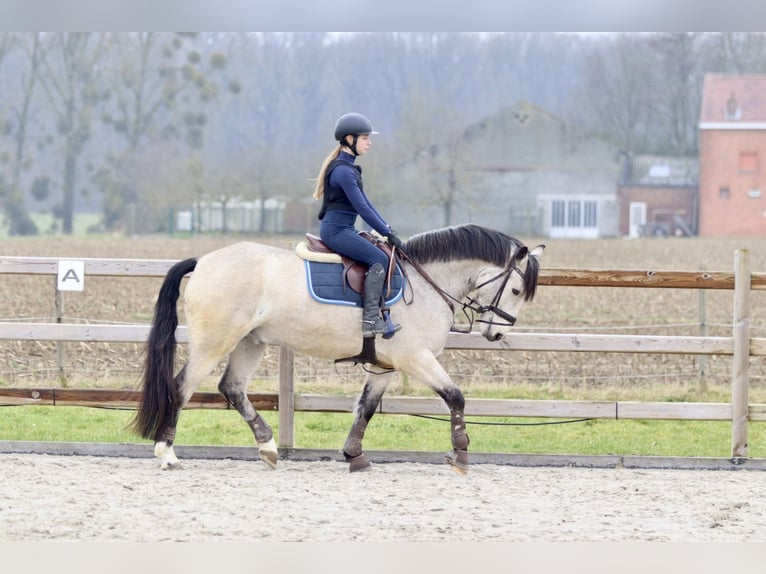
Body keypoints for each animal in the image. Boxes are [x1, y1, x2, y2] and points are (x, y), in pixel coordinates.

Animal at [132, 226, 544, 476]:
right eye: (516, 290)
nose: (496, 333)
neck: (426, 283)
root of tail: (204, 261)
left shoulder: (387, 366)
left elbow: (366, 408)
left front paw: (354, 455)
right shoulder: (416, 359)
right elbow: (455, 397)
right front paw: (460, 454)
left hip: (251, 342)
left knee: (232, 388)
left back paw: (268, 447)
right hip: (214, 342)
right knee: (181, 387)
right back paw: (166, 453)